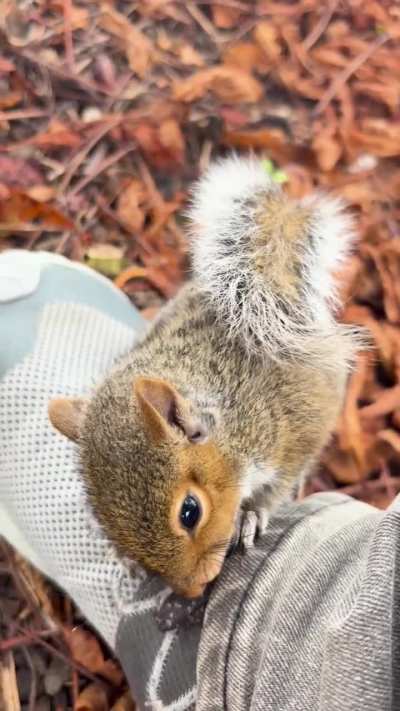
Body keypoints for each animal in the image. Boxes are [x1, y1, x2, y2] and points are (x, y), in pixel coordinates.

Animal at [48, 156, 359, 599]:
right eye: (107, 523)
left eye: (190, 512)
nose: (193, 590)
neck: (231, 425)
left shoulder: (288, 434)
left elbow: (277, 486)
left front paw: (252, 514)